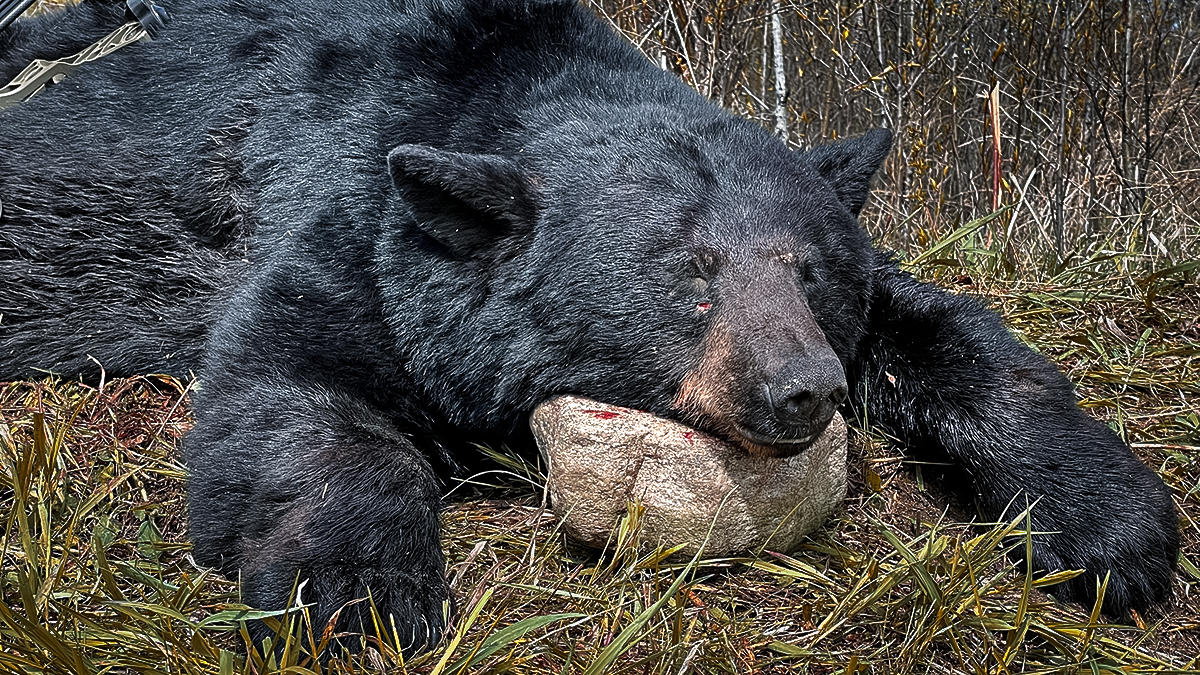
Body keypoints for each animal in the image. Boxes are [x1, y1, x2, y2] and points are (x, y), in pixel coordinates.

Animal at [0, 0, 1180, 653]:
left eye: (809, 276)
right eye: (688, 276)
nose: (806, 387)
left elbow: (957, 342)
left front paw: (1114, 527)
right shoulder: (355, 215)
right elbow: (294, 386)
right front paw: (359, 592)